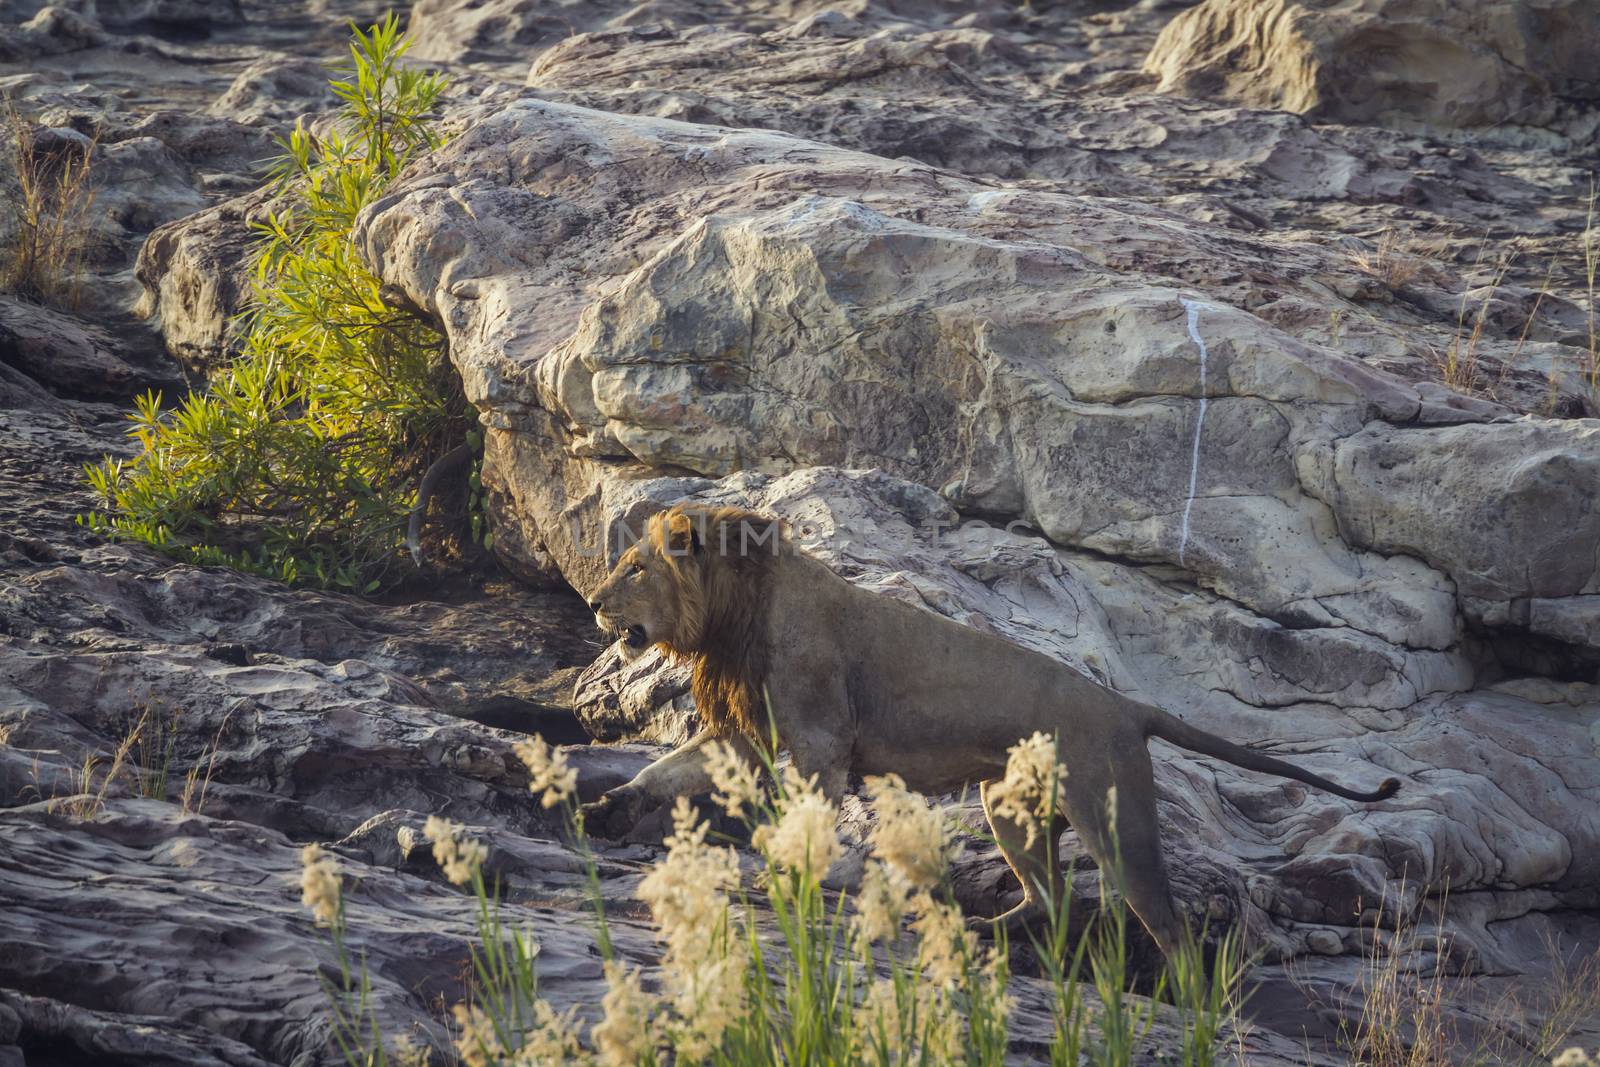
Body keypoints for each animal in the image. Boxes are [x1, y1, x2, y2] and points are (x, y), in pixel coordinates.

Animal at [579, 505, 1401, 966]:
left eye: (634, 567)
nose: (591, 602)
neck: (733, 609)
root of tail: (1129, 706)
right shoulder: (747, 731)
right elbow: (667, 769)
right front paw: (609, 805)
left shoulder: (820, 737)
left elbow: (805, 815)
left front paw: (785, 874)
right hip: (1007, 804)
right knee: (1053, 897)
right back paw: (979, 933)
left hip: (1116, 822)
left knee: (1164, 924)